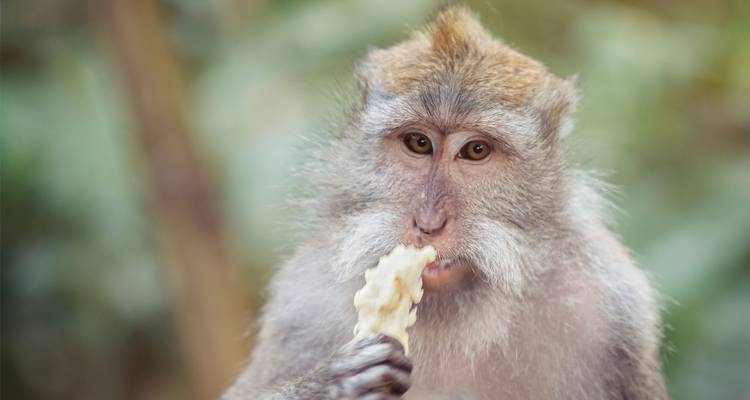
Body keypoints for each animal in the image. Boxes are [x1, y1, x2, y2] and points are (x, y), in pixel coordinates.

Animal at [222, 5, 667, 400]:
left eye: (475, 150)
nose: (428, 222)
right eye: (419, 143)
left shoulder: (617, 309)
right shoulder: (299, 303)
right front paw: (330, 386)